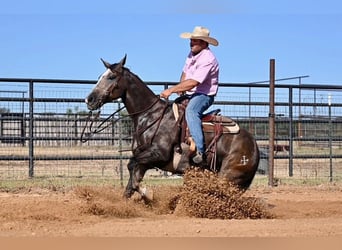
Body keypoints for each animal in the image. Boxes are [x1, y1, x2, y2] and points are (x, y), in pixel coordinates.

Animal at [85, 55, 260, 201]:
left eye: (111, 76)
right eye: (99, 77)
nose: (89, 99)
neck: (150, 116)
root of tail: (254, 146)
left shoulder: (158, 155)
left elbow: (133, 169)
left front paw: (147, 194)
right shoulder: (145, 159)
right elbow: (132, 178)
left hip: (229, 175)